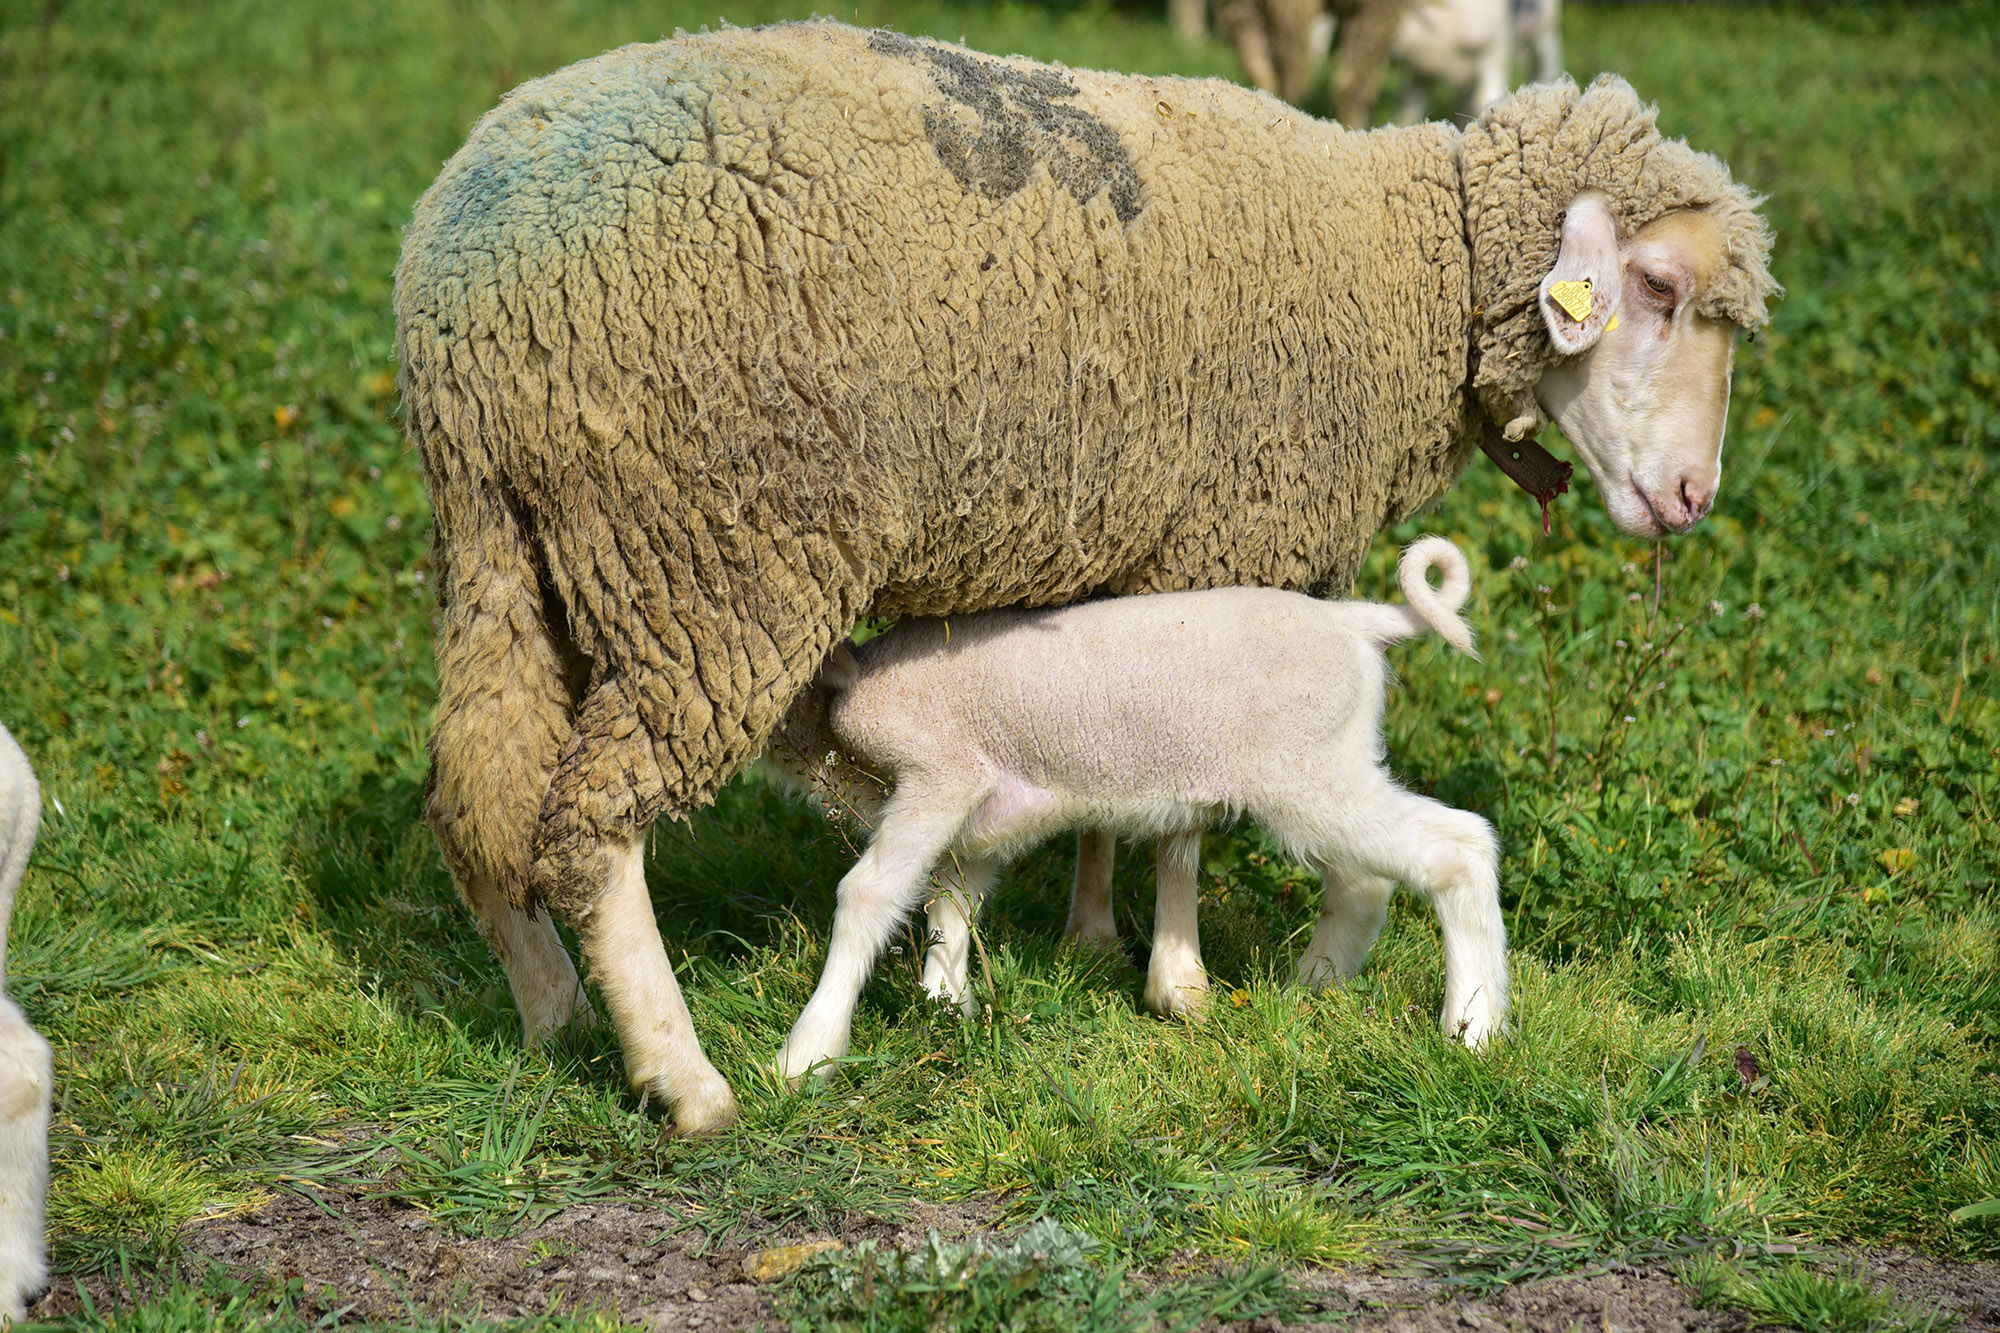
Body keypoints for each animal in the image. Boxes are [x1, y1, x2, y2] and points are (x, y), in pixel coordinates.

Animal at [764, 537, 1497, 1081]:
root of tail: (1354, 621)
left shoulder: (942, 776)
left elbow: (870, 893)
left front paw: (808, 1055)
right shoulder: (982, 811)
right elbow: (953, 903)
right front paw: (947, 1008)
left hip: (1308, 774)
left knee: (1459, 847)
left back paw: (1475, 1031)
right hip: (1330, 764)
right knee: (1364, 881)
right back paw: (1313, 988)